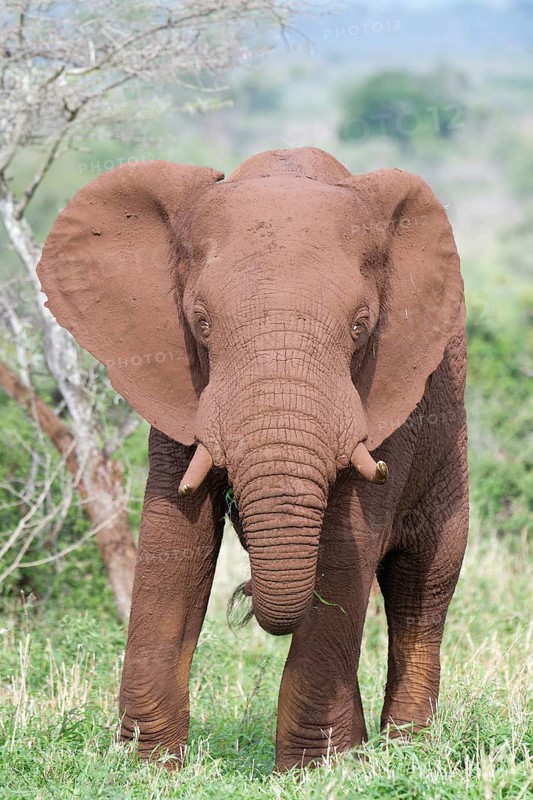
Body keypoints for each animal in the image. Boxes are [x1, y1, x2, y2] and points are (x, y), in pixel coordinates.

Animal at [37, 147, 469, 771]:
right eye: (200, 322)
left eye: (361, 325)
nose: (242, 599)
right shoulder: (178, 378)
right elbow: (176, 539)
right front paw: (147, 767)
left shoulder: (390, 390)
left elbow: (347, 546)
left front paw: (312, 771)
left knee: (423, 586)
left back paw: (404, 751)